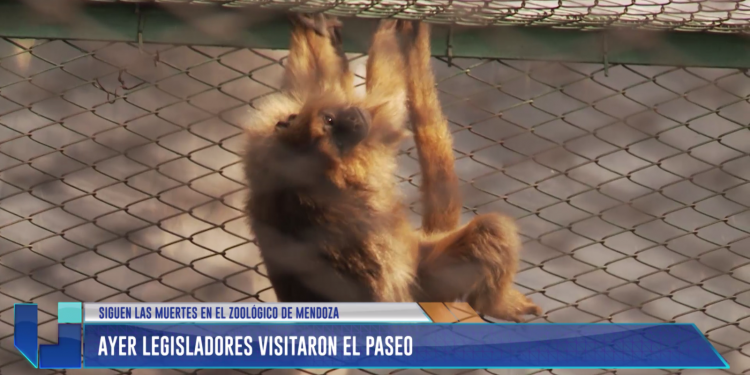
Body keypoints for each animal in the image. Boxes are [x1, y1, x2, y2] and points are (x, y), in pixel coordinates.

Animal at [244, 14, 544, 324]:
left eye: (329, 120)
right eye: (334, 134)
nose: (353, 121)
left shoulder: (265, 149)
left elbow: (309, 83)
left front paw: (314, 31)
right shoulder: (358, 159)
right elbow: (389, 105)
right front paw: (389, 31)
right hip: (429, 280)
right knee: (492, 230)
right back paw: (495, 303)